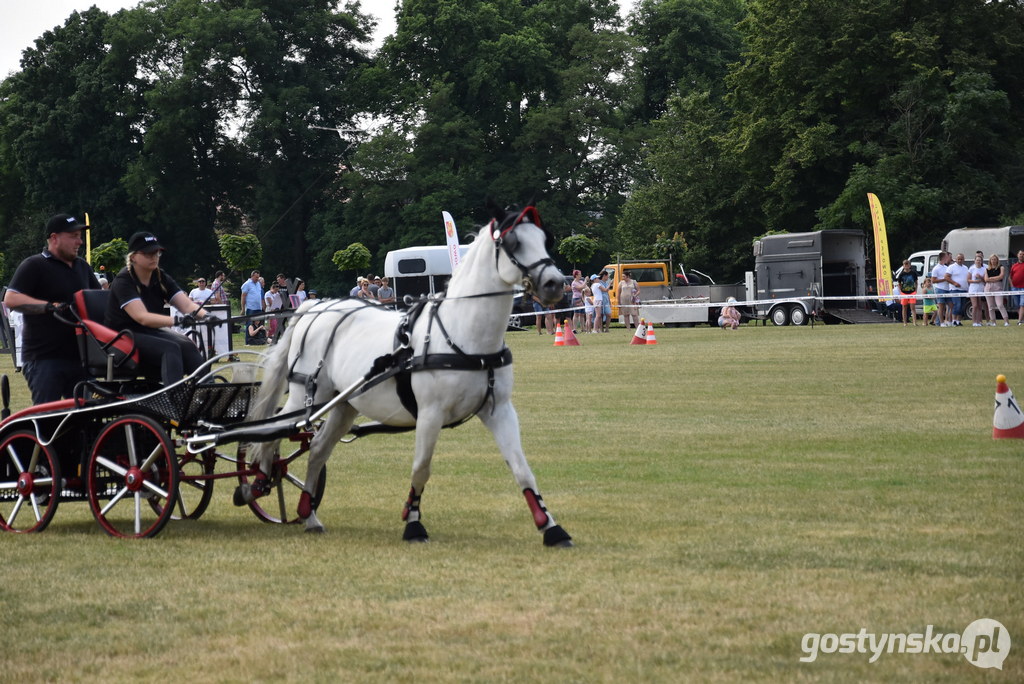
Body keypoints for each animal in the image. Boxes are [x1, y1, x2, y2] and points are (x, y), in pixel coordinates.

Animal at [233, 205, 573, 548]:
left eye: (545, 239)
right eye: (513, 242)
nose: (555, 284)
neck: (463, 335)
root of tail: (315, 306)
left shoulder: (499, 410)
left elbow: (522, 468)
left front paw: (551, 527)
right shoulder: (430, 413)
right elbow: (421, 468)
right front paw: (413, 523)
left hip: (344, 405)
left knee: (317, 449)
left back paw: (308, 513)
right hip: (307, 395)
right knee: (272, 433)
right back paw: (257, 483)